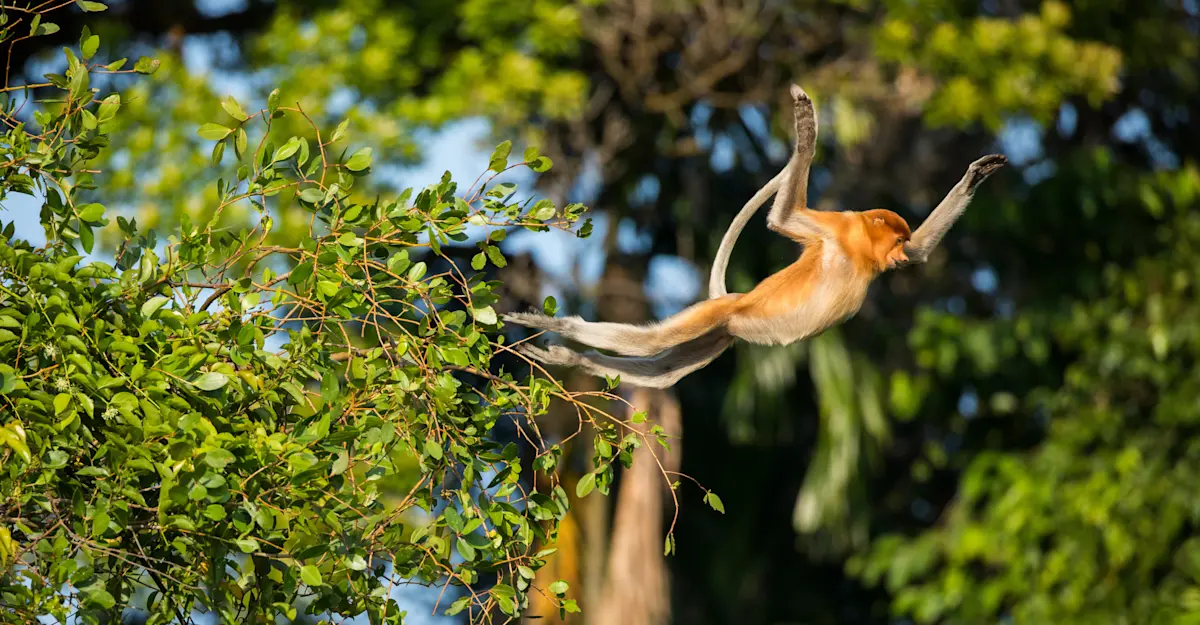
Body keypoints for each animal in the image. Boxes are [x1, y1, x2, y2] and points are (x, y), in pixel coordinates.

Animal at [504, 84, 1007, 388]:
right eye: (895, 239)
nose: (898, 256)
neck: (859, 249)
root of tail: (735, 300)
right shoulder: (839, 226)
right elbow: (783, 218)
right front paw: (805, 128)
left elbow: (924, 252)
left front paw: (976, 175)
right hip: (718, 315)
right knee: (653, 345)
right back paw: (558, 328)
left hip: (722, 332)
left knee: (664, 370)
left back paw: (572, 360)